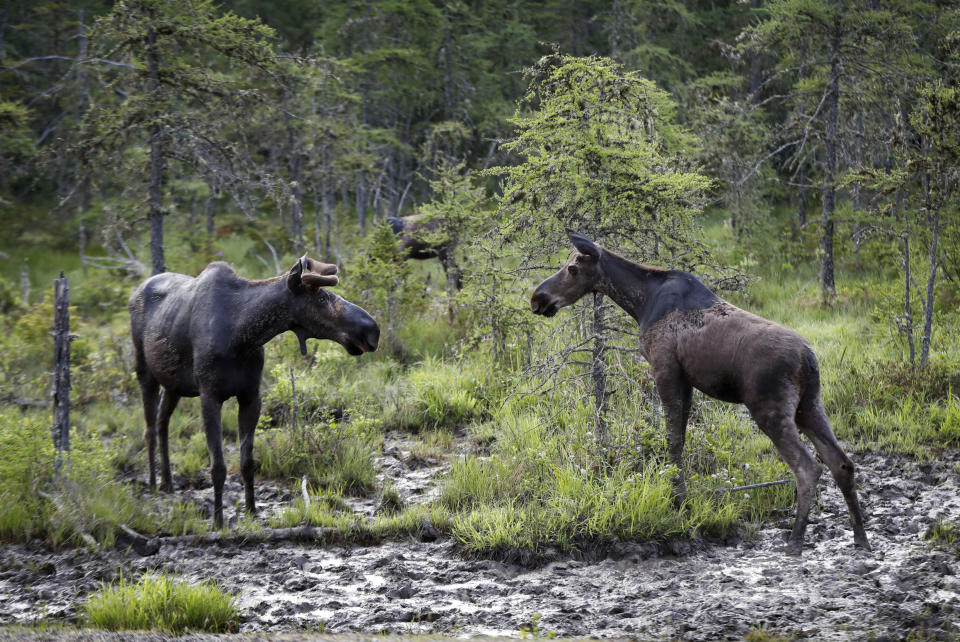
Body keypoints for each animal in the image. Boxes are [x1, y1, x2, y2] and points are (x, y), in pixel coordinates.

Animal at [128, 255, 382, 524]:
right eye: (322, 298)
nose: (372, 329)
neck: (242, 335)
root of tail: (133, 294)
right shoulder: (209, 396)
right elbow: (218, 466)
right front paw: (218, 521)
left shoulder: (251, 396)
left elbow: (248, 462)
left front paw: (251, 511)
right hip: (145, 373)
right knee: (149, 429)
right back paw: (153, 484)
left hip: (174, 385)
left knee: (162, 423)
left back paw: (167, 482)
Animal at [532, 231, 872, 556]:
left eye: (572, 268)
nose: (537, 298)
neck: (640, 302)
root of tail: (808, 359)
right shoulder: (687, 380)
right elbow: (680, 439)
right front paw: (680, 498)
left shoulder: (666, 370)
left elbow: (672, 441)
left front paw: (677, 501)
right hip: (810, 405)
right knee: (841, 463)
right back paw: (861, 539)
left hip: (770, 410)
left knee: (808, 467)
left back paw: (795, 541)